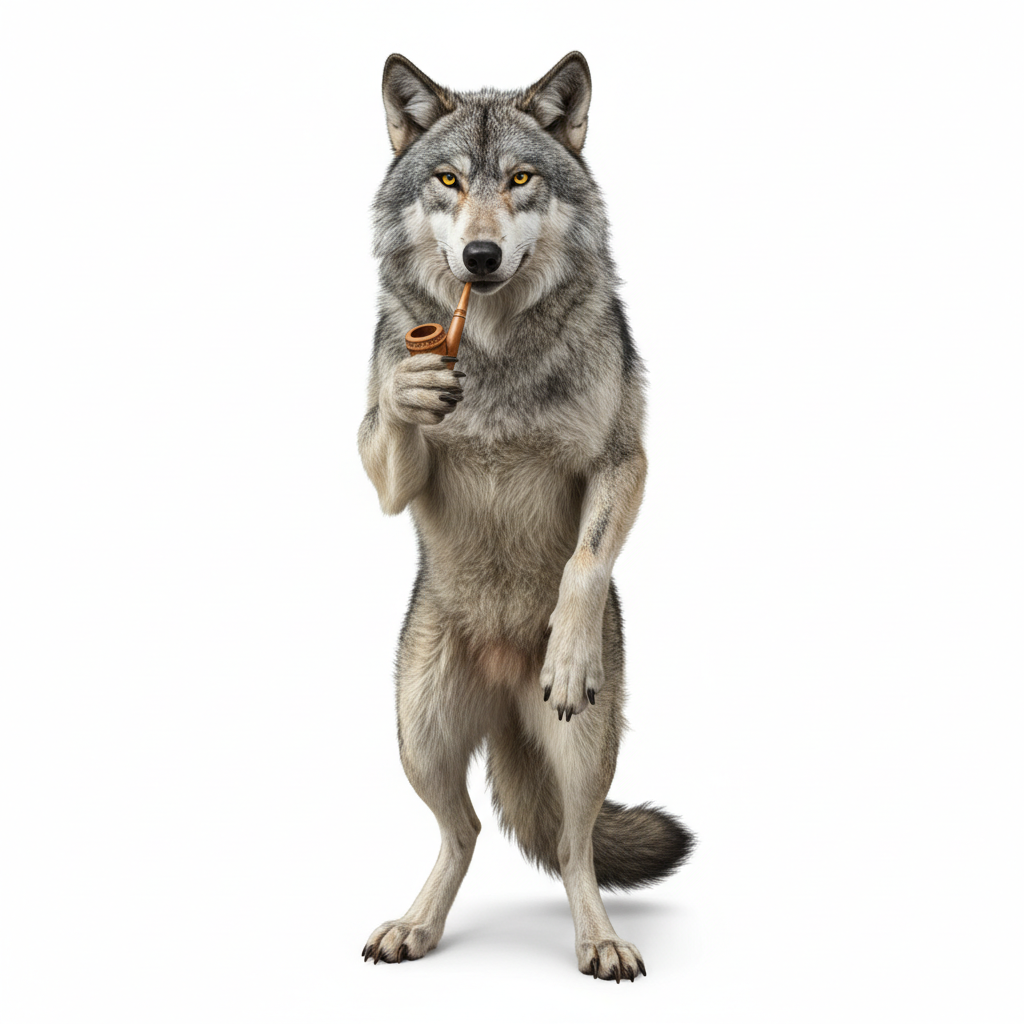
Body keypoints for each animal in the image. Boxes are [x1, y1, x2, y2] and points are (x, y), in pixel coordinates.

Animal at [358, 51, 694, 981]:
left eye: (519, 179)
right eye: (447, 179)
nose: (480, 256)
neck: (494, 350)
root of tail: (508, 694)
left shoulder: (623, 459)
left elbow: (584, 560)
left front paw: (568, 652)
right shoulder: (388, 468)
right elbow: (391, 425)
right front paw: (413, 387)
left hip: (577, 751)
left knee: (574, 850)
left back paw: (601, 942)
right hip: (420, 730)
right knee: (464, 831)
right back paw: (416, 927)